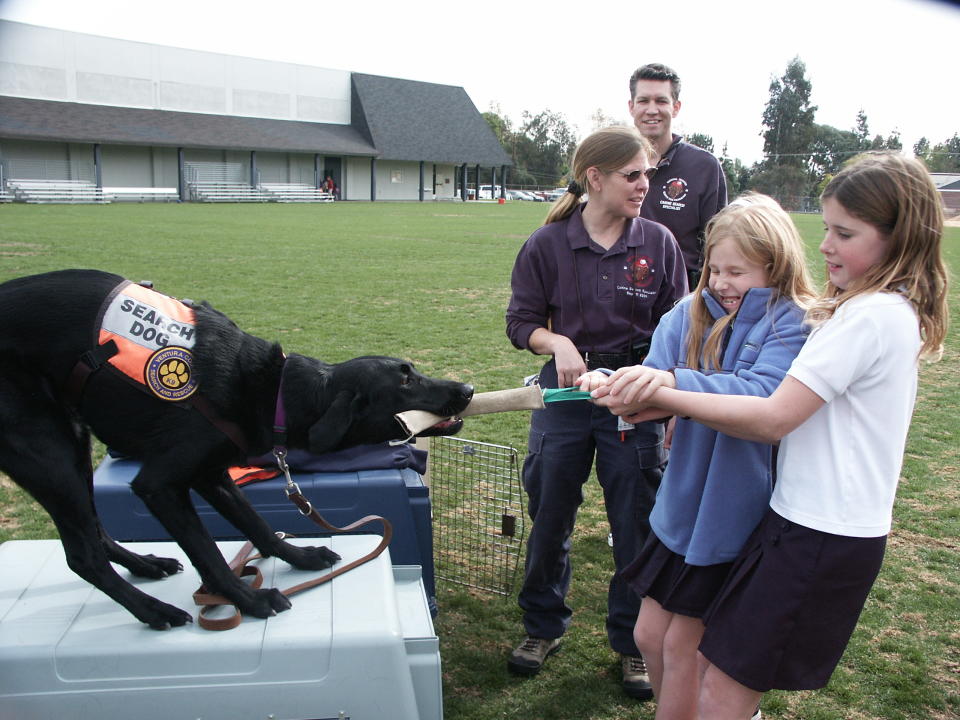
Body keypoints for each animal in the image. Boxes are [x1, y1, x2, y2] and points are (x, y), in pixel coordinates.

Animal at [0, 268, 472, 628]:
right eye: (405, 381)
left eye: (413, 369)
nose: (466, 389)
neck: (273, 391)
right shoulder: (160, 484)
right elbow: (207, 551)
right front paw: (249, 600)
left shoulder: (213, 475)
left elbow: (257, 524)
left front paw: (300, 556)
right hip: (51, 454)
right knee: (83, 556)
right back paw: (154, 611)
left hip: (75, 447)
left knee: (96, 533)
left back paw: (146, 566)